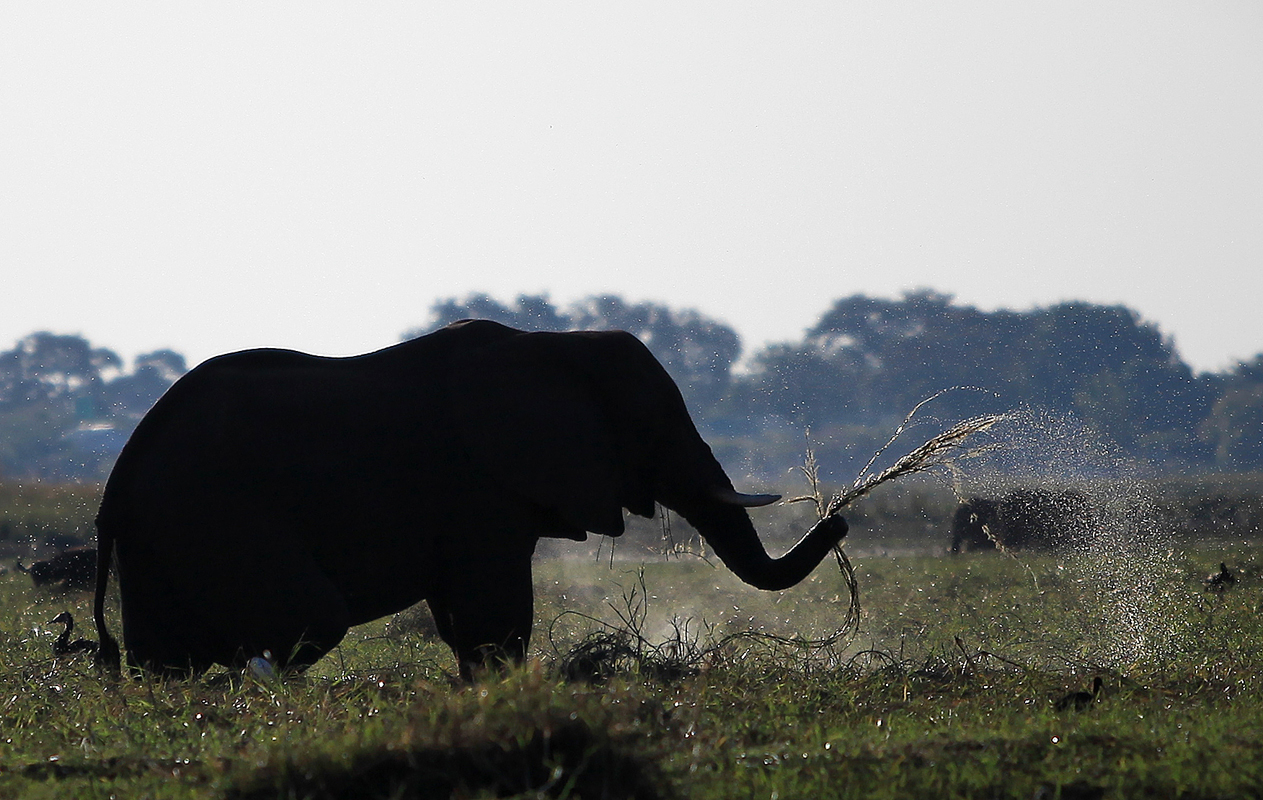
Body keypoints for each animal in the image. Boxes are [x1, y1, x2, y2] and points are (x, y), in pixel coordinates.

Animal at [95, 318, 848, 672]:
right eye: (653, 424)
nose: (836, 520)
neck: (555, 345)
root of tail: (115, 483)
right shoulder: (480, 489)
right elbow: (493, 611)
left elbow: (464, 617)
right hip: (213, 515)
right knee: (314, 617)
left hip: (167, 536)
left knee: (169, 656)